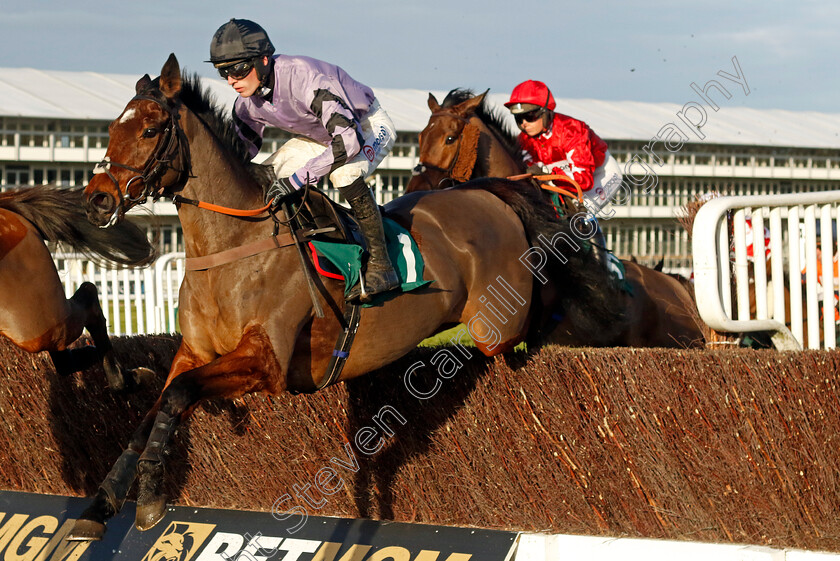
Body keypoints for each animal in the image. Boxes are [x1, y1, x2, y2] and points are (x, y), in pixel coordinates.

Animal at [69, 53, 612, 540]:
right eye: (111, 128)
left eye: (150, 130)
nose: (96, 199)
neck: (233, 246)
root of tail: (488, 192)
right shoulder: (194, 351)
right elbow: (153, 410)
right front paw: (101, 504)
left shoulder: (266, 363)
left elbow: (178, 395)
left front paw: (150, 499)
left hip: (496, 327)